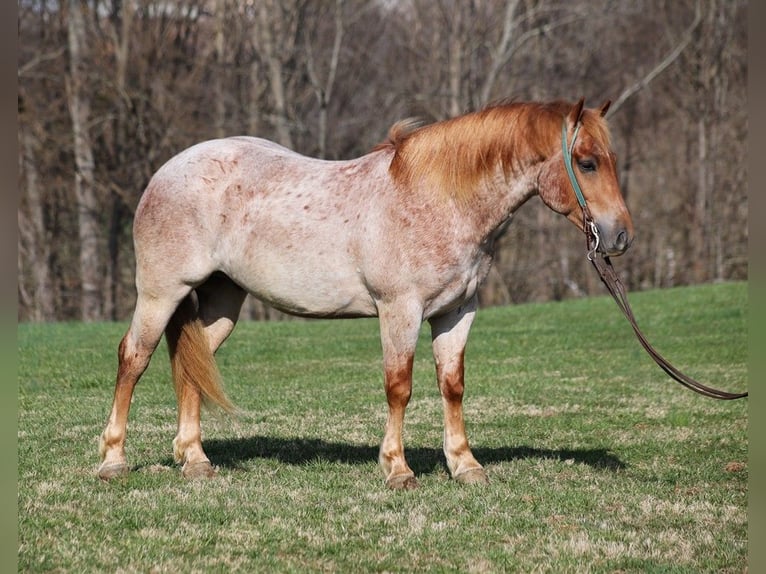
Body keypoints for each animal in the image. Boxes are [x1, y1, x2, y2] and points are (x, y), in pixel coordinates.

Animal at [98, 98, 634, 489]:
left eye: (610, 159)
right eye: (586, 163)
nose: (621, 236)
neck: (440, 198)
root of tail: (168, 171)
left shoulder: (457, 312)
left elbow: (452, 386)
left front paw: (464, 465)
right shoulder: (400, 310)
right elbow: (400, 387)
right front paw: (397, 468)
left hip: (221, 301)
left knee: (193, 363)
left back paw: (195, 460)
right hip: (161, 294)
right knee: (133, 358)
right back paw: (113, 460)